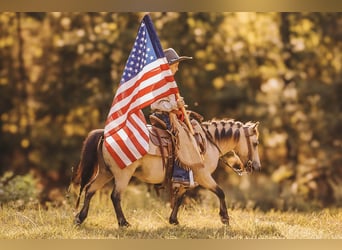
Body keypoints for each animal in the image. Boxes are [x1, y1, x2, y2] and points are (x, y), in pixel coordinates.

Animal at [71, 118, 260, 227]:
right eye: (256, 143)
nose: (256, 167)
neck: (208, 142)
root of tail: (105, 133)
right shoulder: (204, 176)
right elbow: (220, 192)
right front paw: (225, 218)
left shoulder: (187, 179)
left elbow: (180, 198)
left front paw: (174, 220)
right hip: (122, 175)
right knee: (115, 196)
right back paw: (123, 223)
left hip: (105, 172)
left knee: (90, 190)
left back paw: (80, 218)